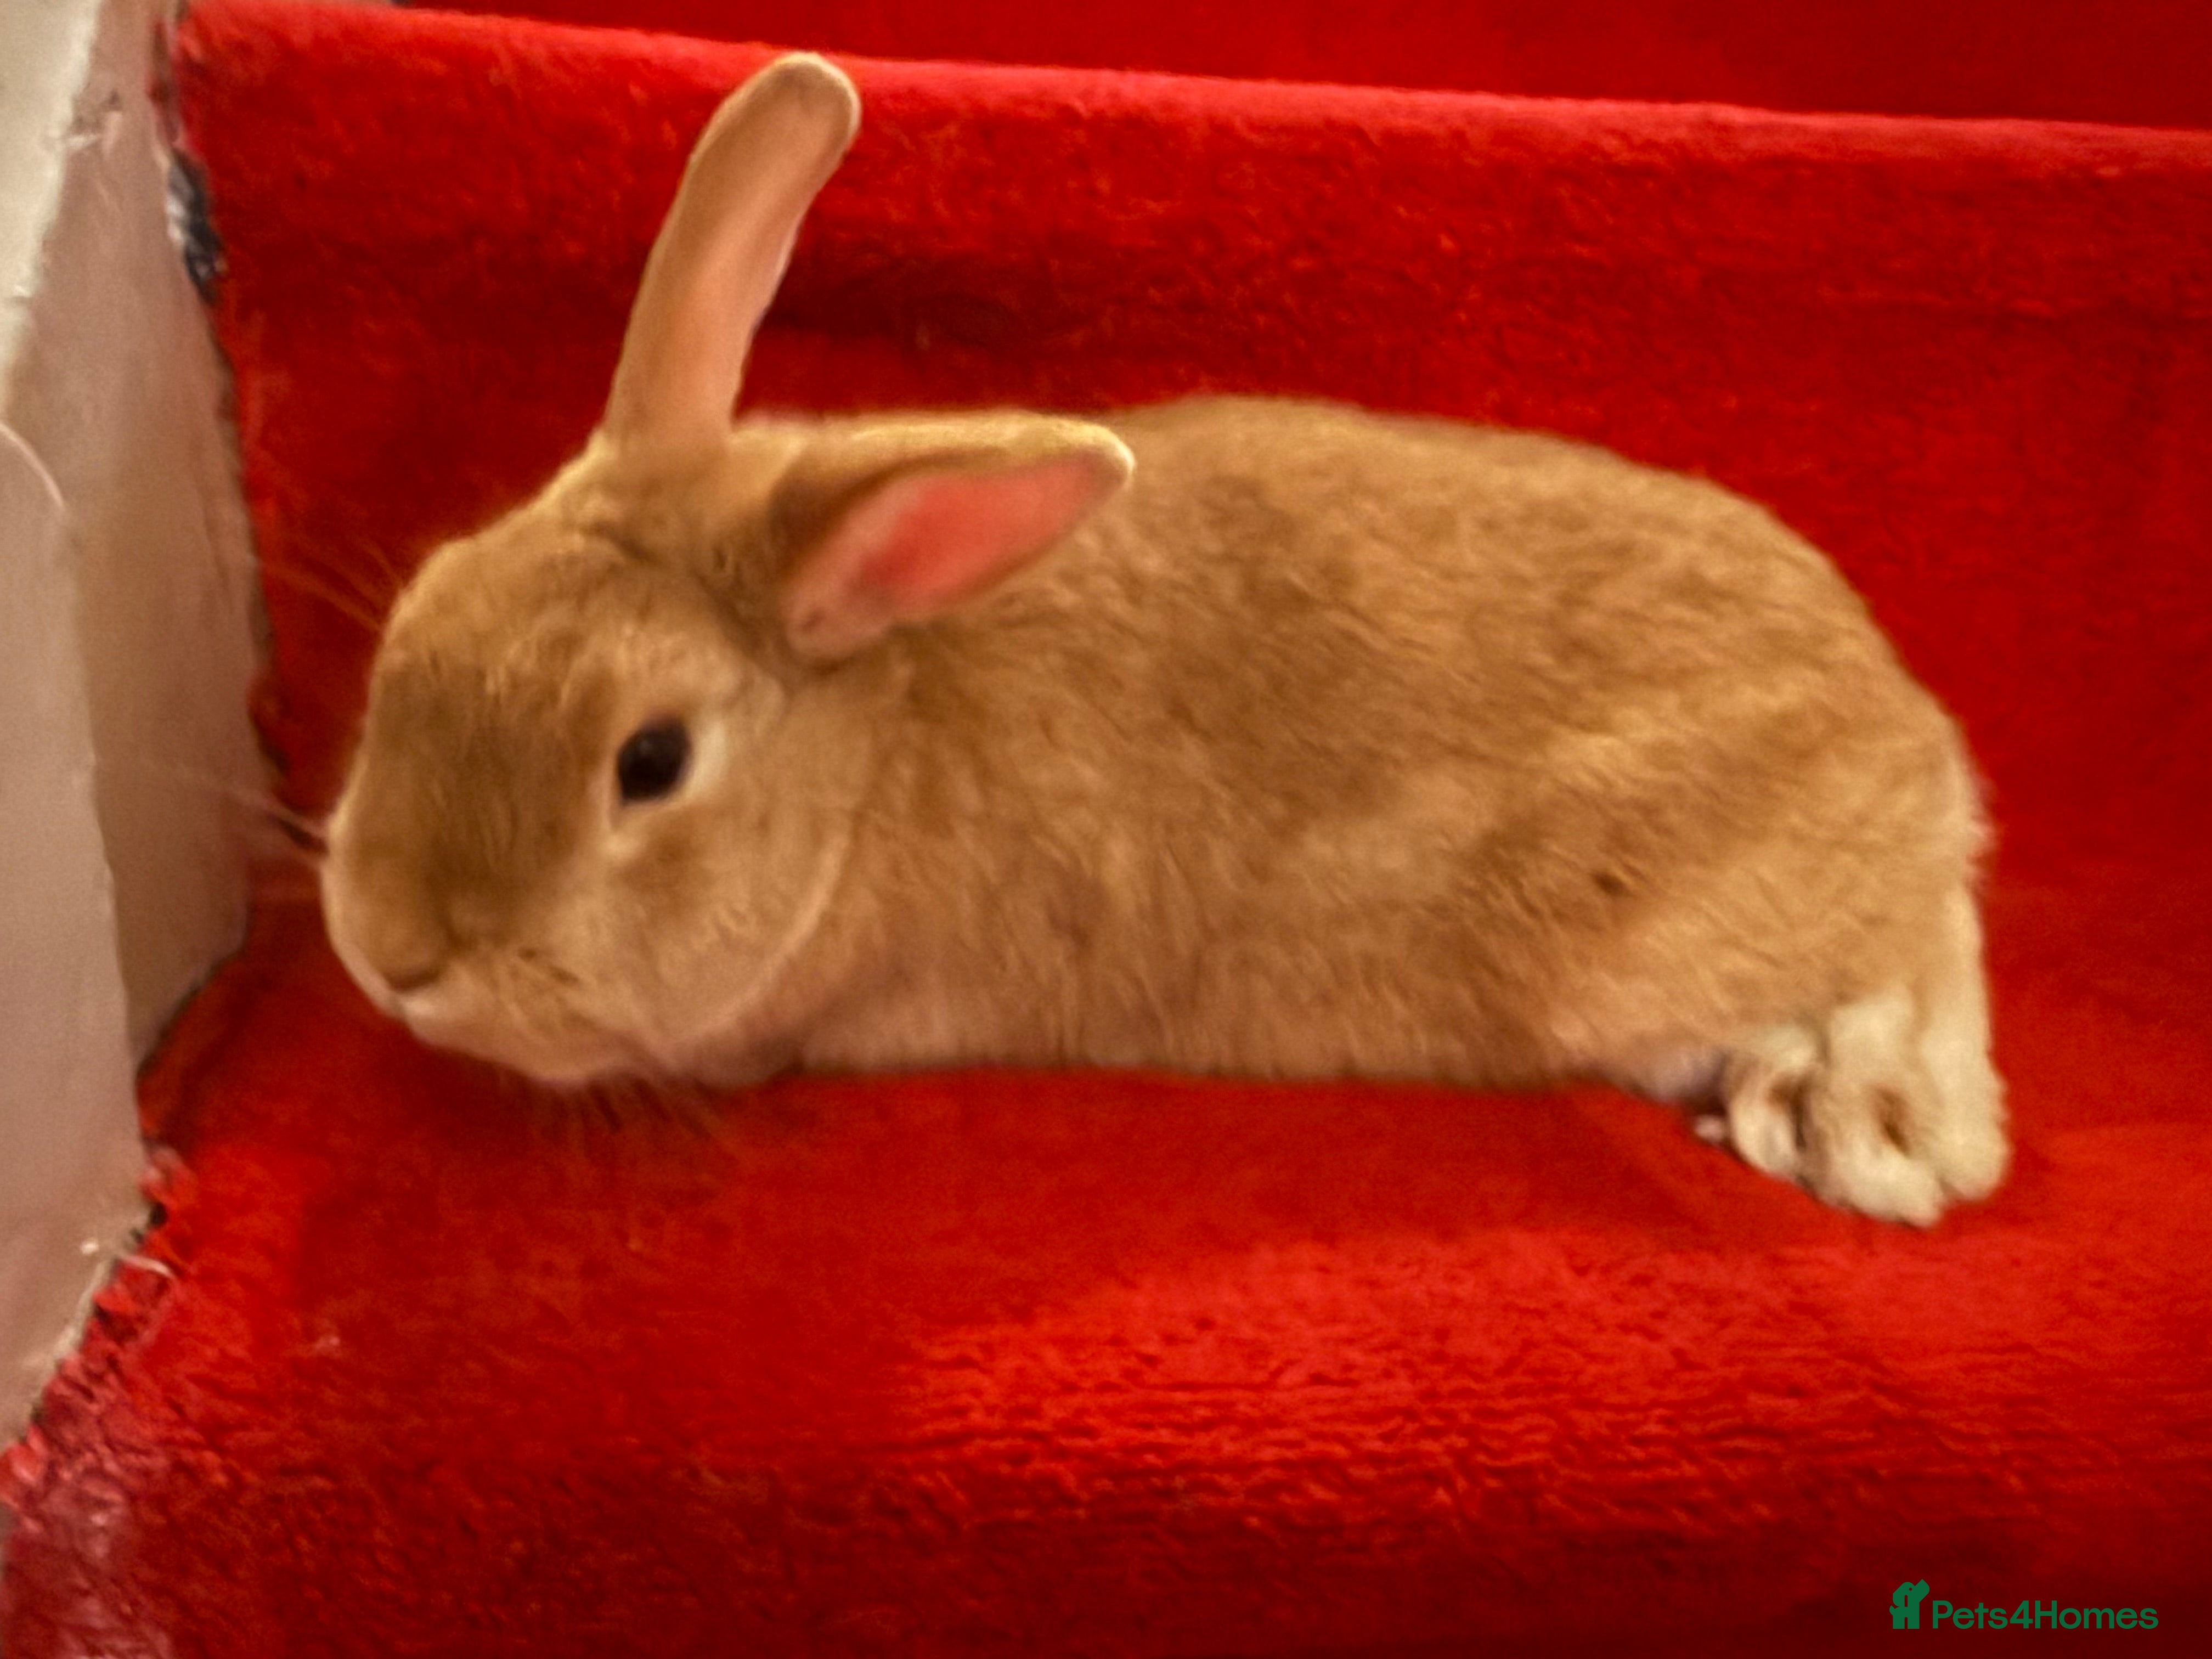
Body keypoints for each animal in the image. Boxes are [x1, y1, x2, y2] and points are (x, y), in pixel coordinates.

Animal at [320, 54, 2009, 1224]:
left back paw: (1861, 1124)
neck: (869, 740)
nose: (392, 960)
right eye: (425, 610)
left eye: (651, 762)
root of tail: (1917, 743)